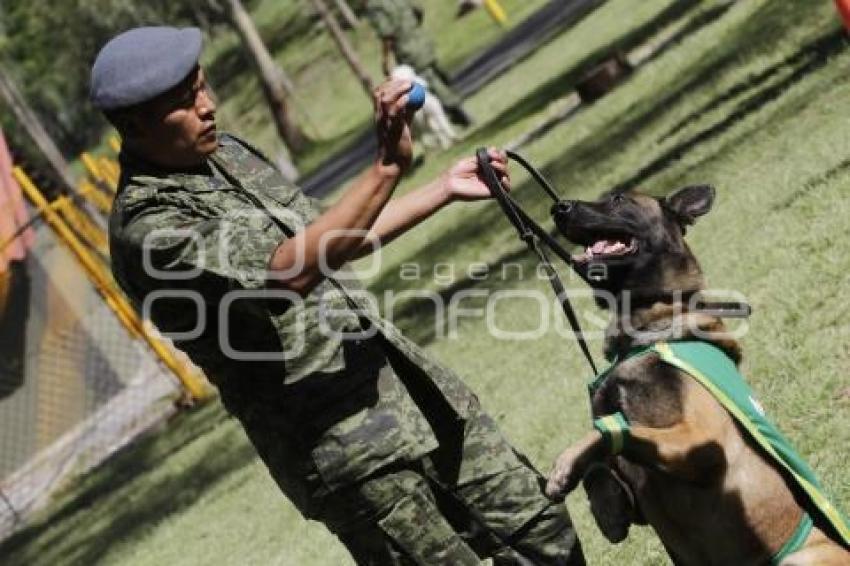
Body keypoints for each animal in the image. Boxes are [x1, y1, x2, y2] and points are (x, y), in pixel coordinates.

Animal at [544, 185, 848, 564]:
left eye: (618, 199)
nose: (559, 208)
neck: (649, 326)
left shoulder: (701, 441)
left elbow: (605, 433)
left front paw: (564, 465)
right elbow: (601, 462)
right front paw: (607, 508)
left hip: (802, 555)